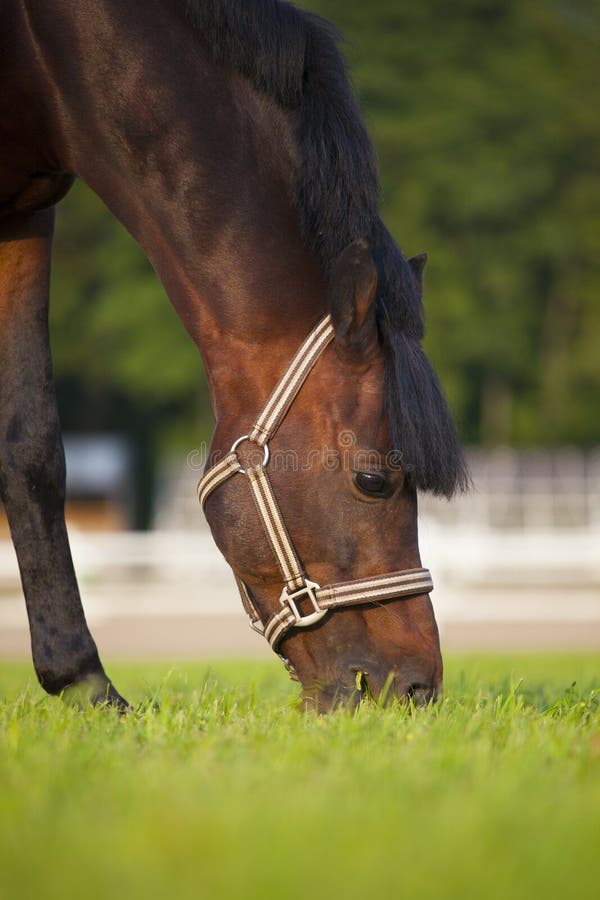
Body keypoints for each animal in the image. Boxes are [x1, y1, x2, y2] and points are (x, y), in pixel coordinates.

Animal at [0, 0, 468, 712]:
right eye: (372, 479)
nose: (417, 687)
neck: (46, 48)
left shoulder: (24, 215)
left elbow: (30, 447)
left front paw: (83, 685)